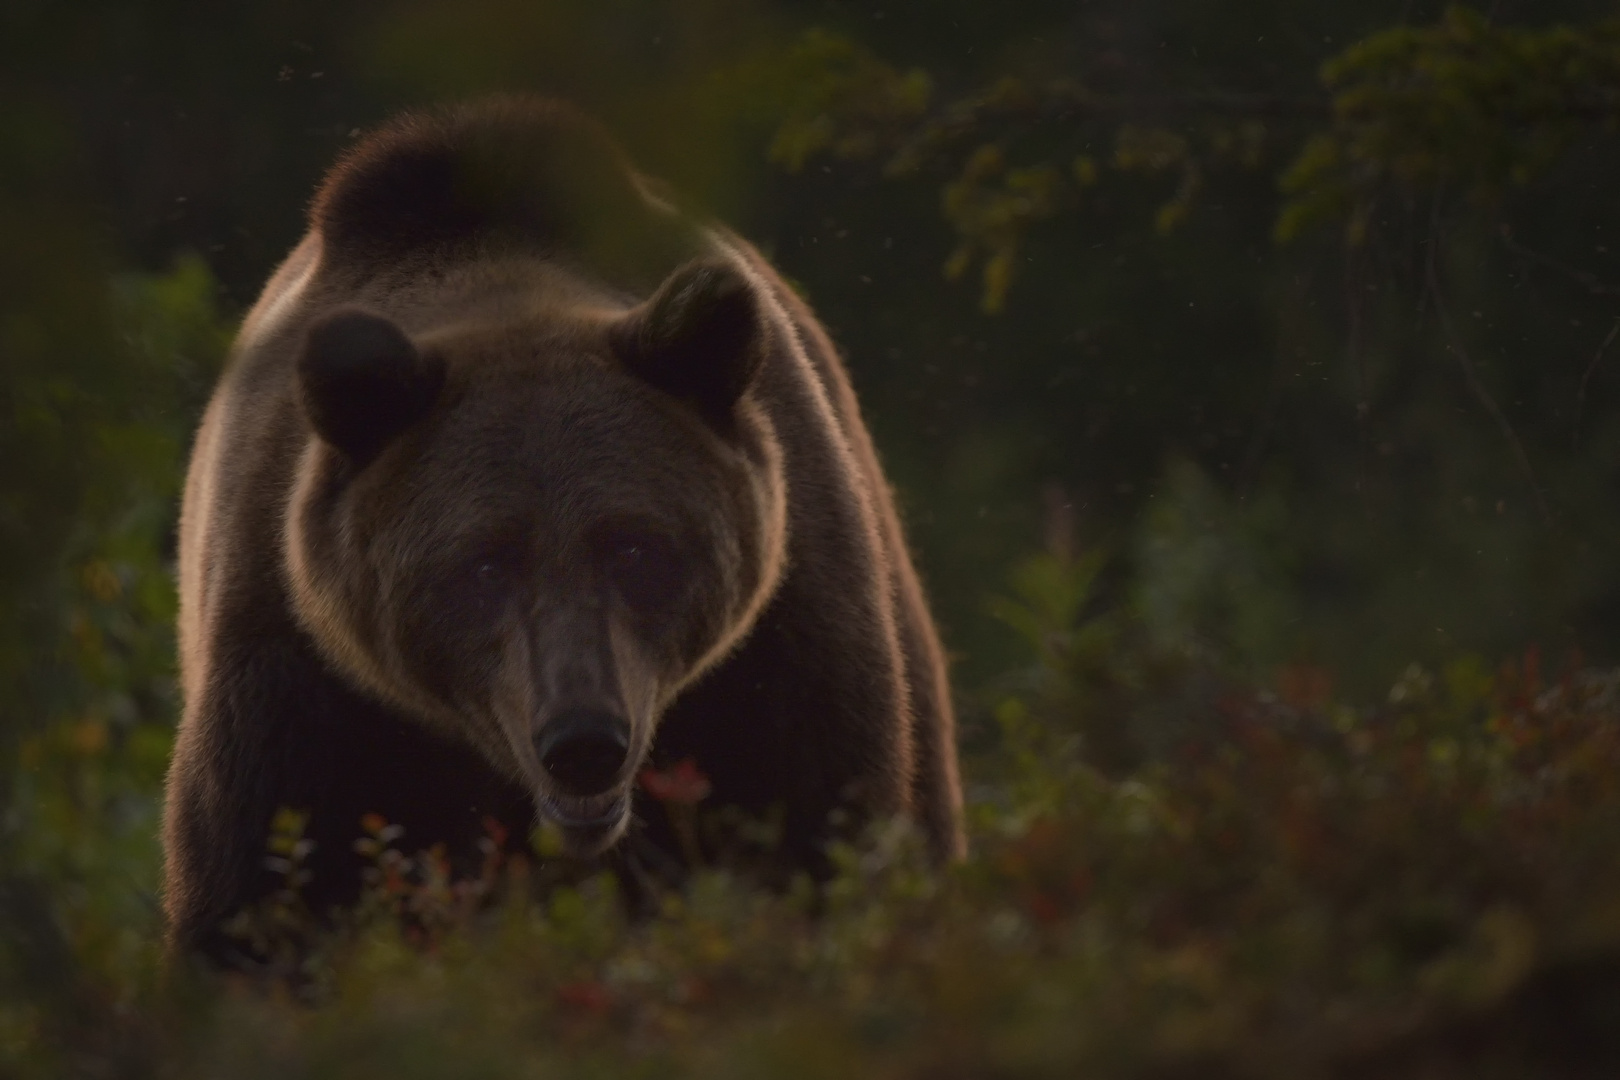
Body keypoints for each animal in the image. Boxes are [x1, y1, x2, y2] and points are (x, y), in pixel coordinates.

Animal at [167, 97, 959, 958]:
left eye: (636, 549)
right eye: (483, 565)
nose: (584, 743)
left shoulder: (775, 658)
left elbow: (815, 835)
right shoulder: (306, 685)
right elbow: (269, 891)